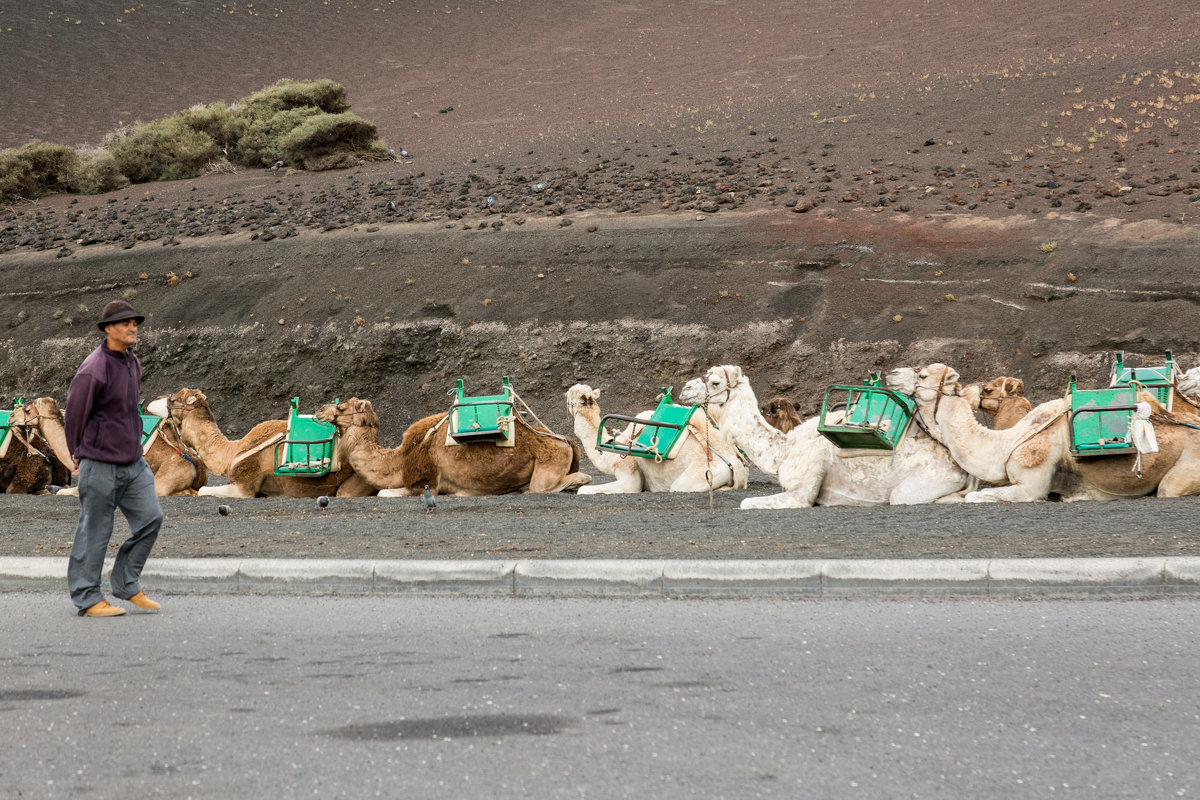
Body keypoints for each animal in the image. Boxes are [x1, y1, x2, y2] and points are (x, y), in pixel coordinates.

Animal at [312, 393, 588, 494]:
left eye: (341, 406)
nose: (319, 410)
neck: (400, 459)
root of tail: (566, 441)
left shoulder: (427, 484)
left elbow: (382, 493)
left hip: (547, 465)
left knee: (546, 486)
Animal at [559, 383, 739, 494]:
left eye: (571, 395)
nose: (564, 393)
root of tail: (735, 466)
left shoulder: (628, 470)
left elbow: (584, 490)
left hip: (701, 474)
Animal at [676, 367, 974, 510]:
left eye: (715, 382)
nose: (684, 389)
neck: (785, 449)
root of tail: (957, 463)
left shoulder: (801, 493)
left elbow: (746, 502)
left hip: (922, 483)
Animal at [892, 367, 1200, 503]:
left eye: (922, 375)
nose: (892, 373)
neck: (1008, 441)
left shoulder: (1032, 486)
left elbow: (976, 497)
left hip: (1185, 470)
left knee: (1167, 489)